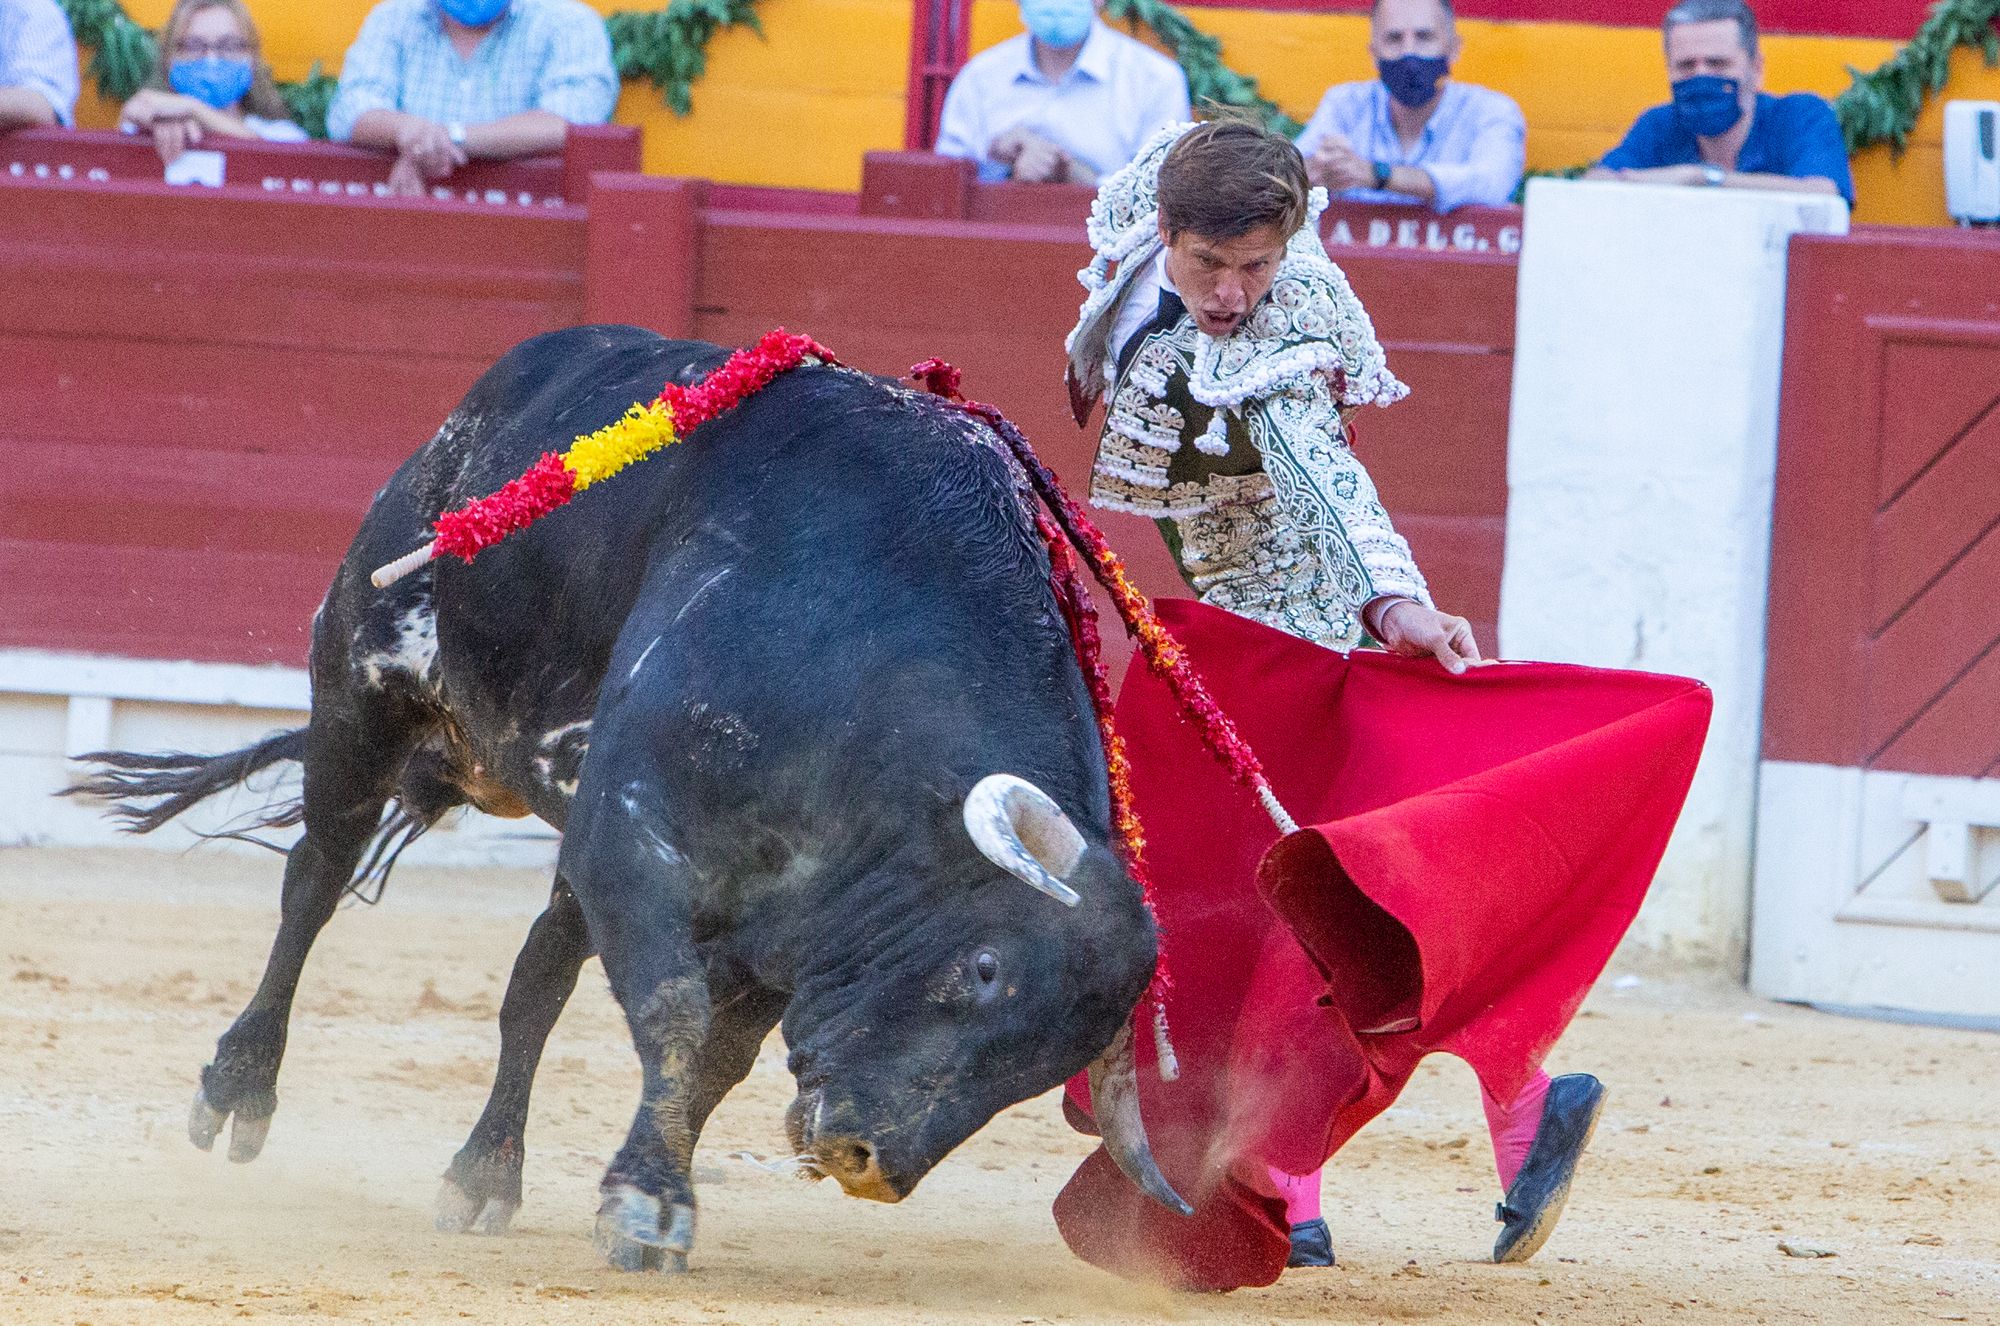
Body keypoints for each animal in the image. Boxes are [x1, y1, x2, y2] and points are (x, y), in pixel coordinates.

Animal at [74, 326, 1184, 1272]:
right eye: (985, 968)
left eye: (1048, 1066)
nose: (871, 1162)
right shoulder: (627, 832)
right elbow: (672, 1013)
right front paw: (648, 1206)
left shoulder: (786, 928)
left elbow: (703, 1060)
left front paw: (643, 1193)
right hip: (361, 691)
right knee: (313, 883)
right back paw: (238, 1087)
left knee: (532, 985)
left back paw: (484, 1174)